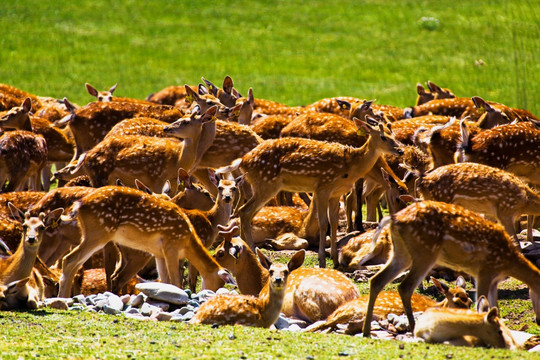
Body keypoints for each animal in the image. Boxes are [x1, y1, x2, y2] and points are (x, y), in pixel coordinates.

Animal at [57, 186, 236, 298]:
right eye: (219, 282)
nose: (212, 294)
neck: (187, 241)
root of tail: (79, 205)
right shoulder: (171, 246)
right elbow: (176, 281)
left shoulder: (159, 253)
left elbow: (165, 282)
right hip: (98, 232)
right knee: (69, 260)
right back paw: (63, 299)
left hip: (91, 234)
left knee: (75, 264)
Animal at [217, 116, 402, 266]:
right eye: (384, 137)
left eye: (393, 135)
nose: (400, 150)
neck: (351, 165)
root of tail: (242, 161)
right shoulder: (323, 187)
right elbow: (323, 223)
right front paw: (322, 260)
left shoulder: (336, 193)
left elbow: (334, 221)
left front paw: (335, 259)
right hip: (266, 184)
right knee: (245, 211)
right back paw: (253, 251)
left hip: (262, 186)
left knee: (244, 213)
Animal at [358, 201, 540, 336]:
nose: (538, 321)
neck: (508, 263)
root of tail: (393, 219)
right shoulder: (484, 271)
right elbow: (482, 302)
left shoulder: (494, 279)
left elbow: (496, 307)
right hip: (425, 252)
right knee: (405, 286)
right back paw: (413, 327)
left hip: (401, 253)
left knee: (376, 280)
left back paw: (366, 331)